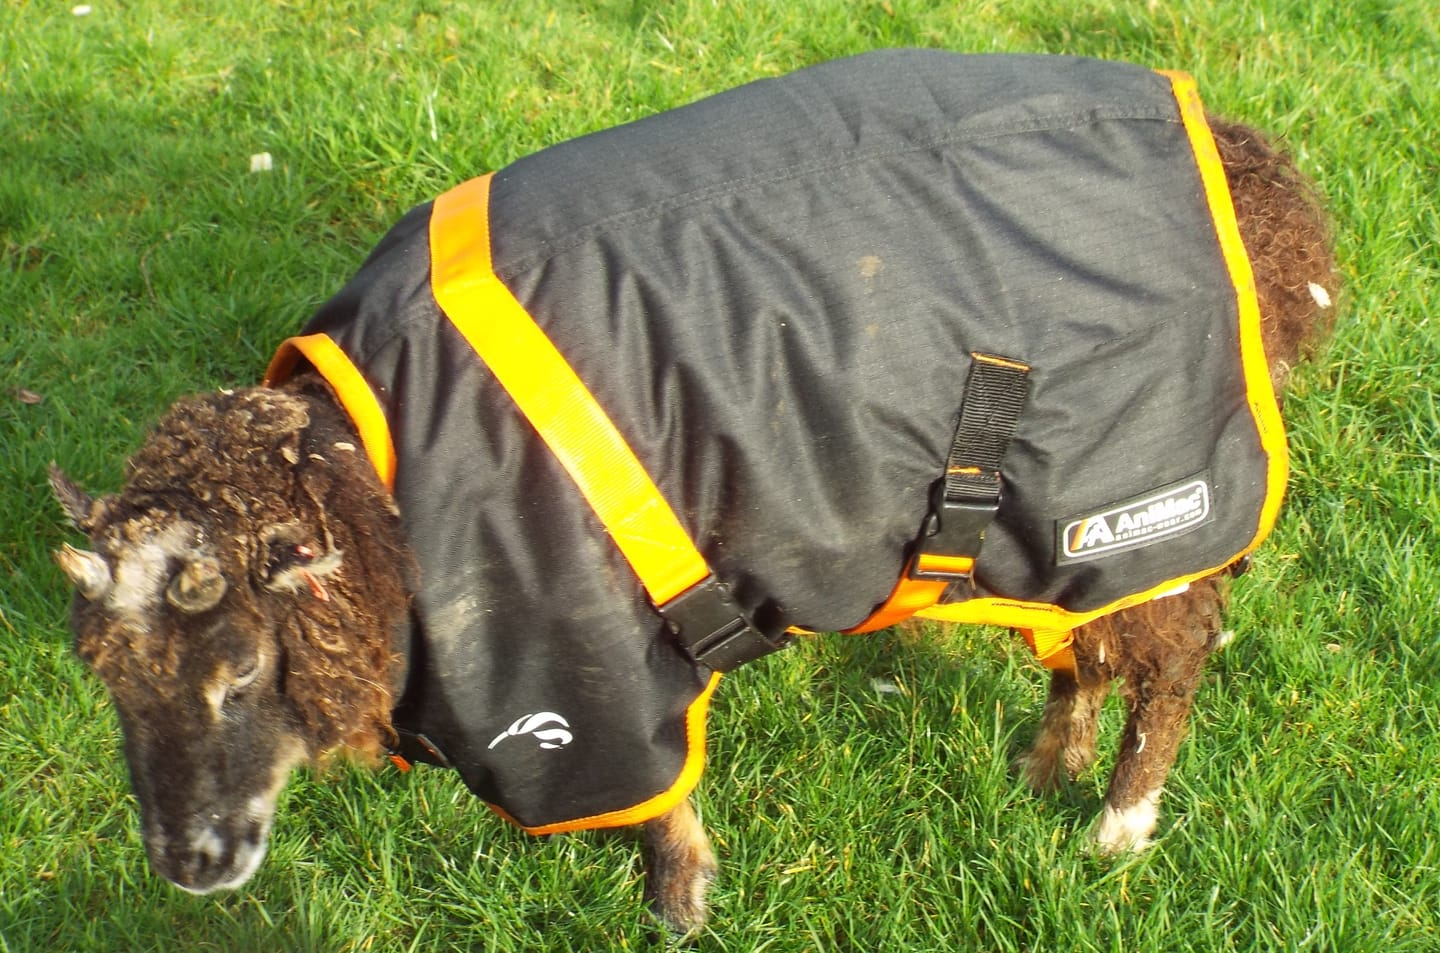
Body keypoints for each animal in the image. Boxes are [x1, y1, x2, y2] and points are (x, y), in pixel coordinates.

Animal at [51, 52, 1335, 935]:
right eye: (107, 682)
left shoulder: (586, 670)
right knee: (1089, 643)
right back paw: (1048, 762)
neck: (374, 497)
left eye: (242, 676)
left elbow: (657, 805)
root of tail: (1253, 179)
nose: (186, 865)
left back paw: (1119, 824)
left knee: (1174, 651)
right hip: (1049, 531)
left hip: (1143, 490)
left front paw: (679, 906)